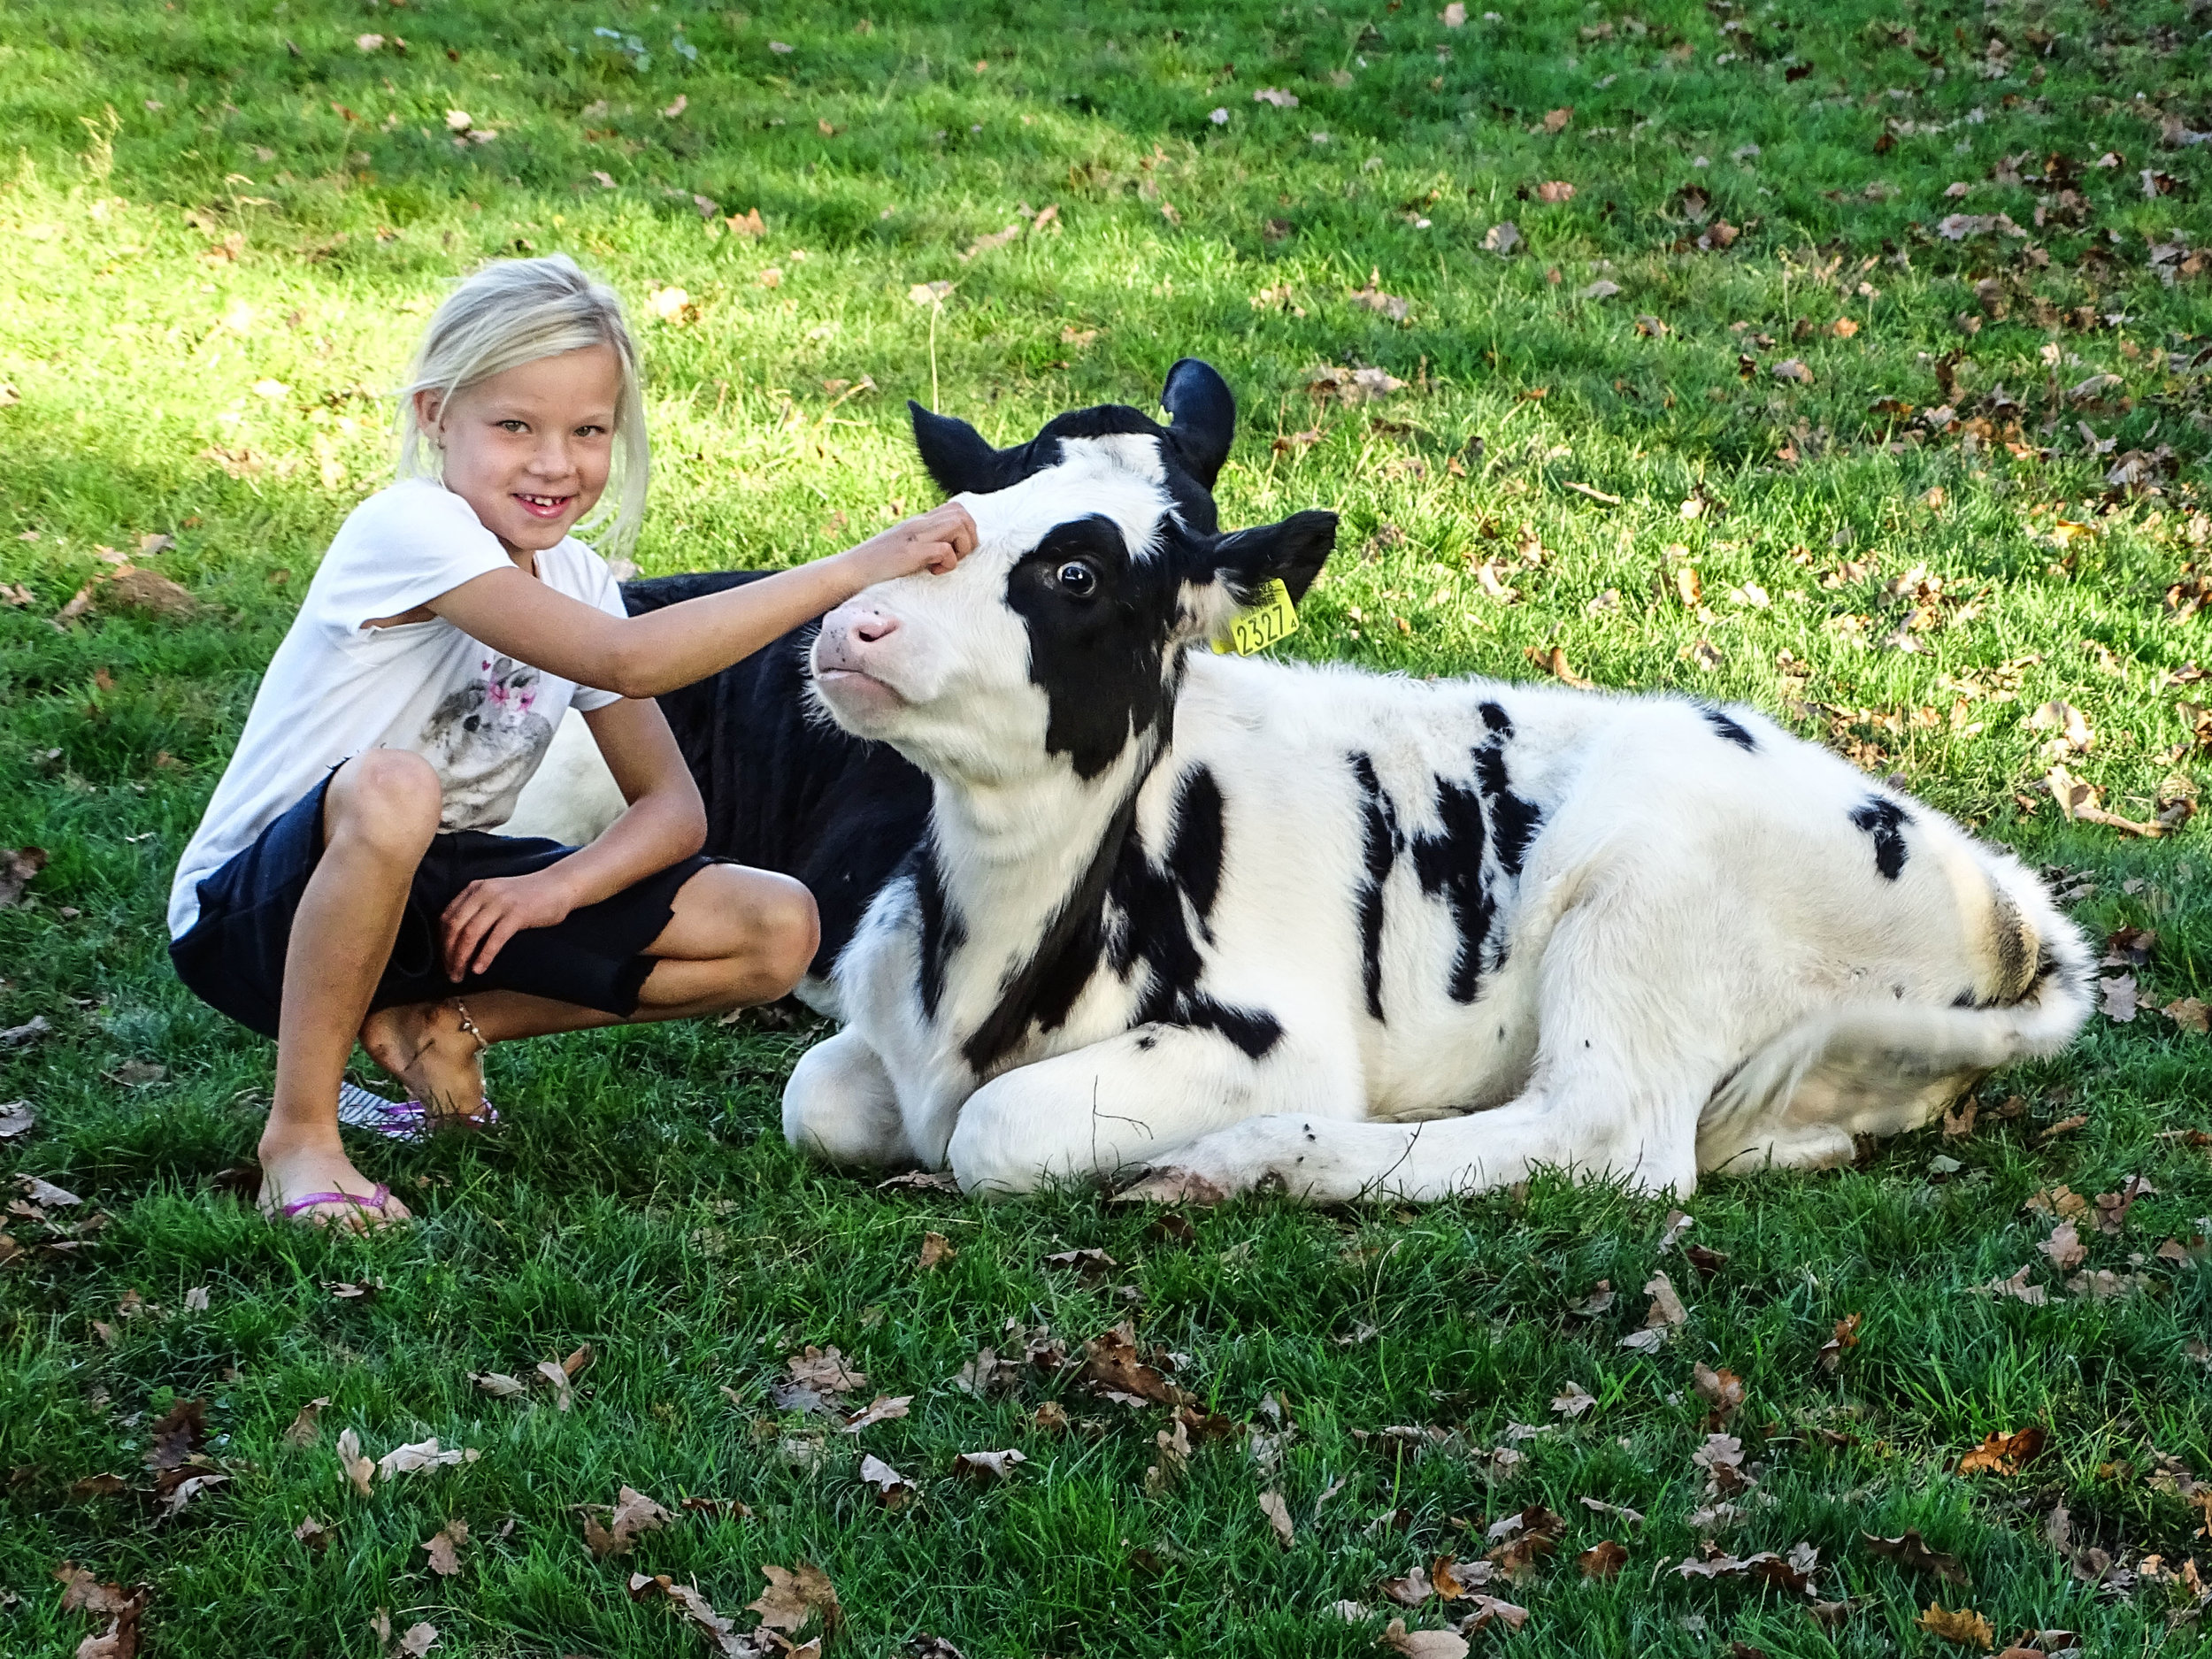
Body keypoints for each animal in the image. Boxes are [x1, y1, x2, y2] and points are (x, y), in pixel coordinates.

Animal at [513, 363, 2088, 1203]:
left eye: (1079, 571)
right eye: (951, 515)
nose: (850, 624)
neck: (990, 955)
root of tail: (2009, 904)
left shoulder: (1266, 1034)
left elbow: (995, 1134)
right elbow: (820, 1093)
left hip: (1650, 900)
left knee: (1600, 1138)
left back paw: (1262, 1158)